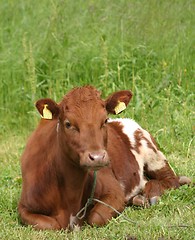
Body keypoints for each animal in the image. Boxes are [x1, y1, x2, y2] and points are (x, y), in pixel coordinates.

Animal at [17, 86, 190, 231]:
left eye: (104, 120)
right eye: (68, 124)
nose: (98, 157)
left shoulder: (114, 192)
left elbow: (95, 218)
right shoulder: (24, 206)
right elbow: (51, 224)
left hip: (152, 152)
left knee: (169, 180)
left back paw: (151, 194)